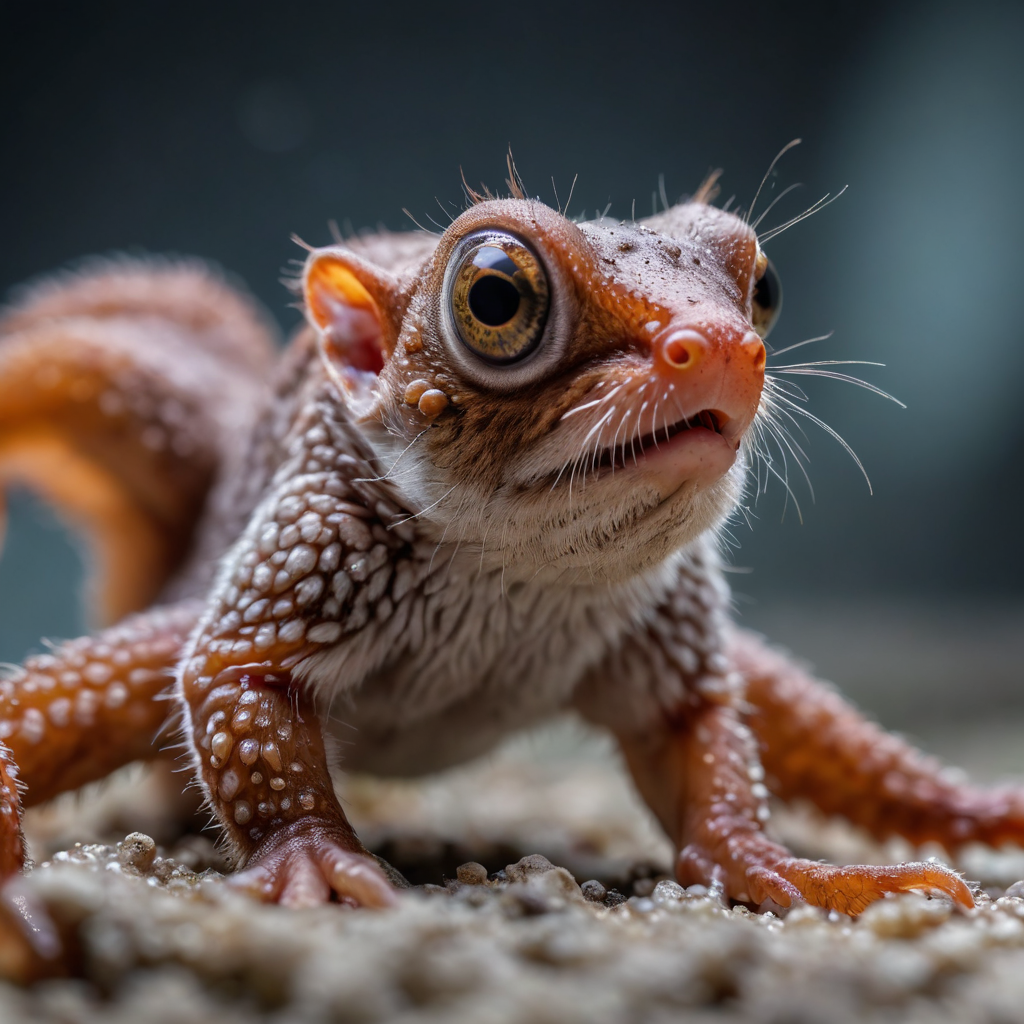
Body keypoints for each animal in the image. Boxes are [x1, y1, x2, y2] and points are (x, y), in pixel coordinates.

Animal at [1, 167, 1018, 975]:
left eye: (762, 283)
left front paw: (776, 865)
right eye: (494, 295)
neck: (518, 576)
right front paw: (312, 865)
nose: (729, 347)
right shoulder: (300, 561)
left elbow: (709, 750)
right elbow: (235, 687)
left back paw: (984, 810)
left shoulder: (671, 635)